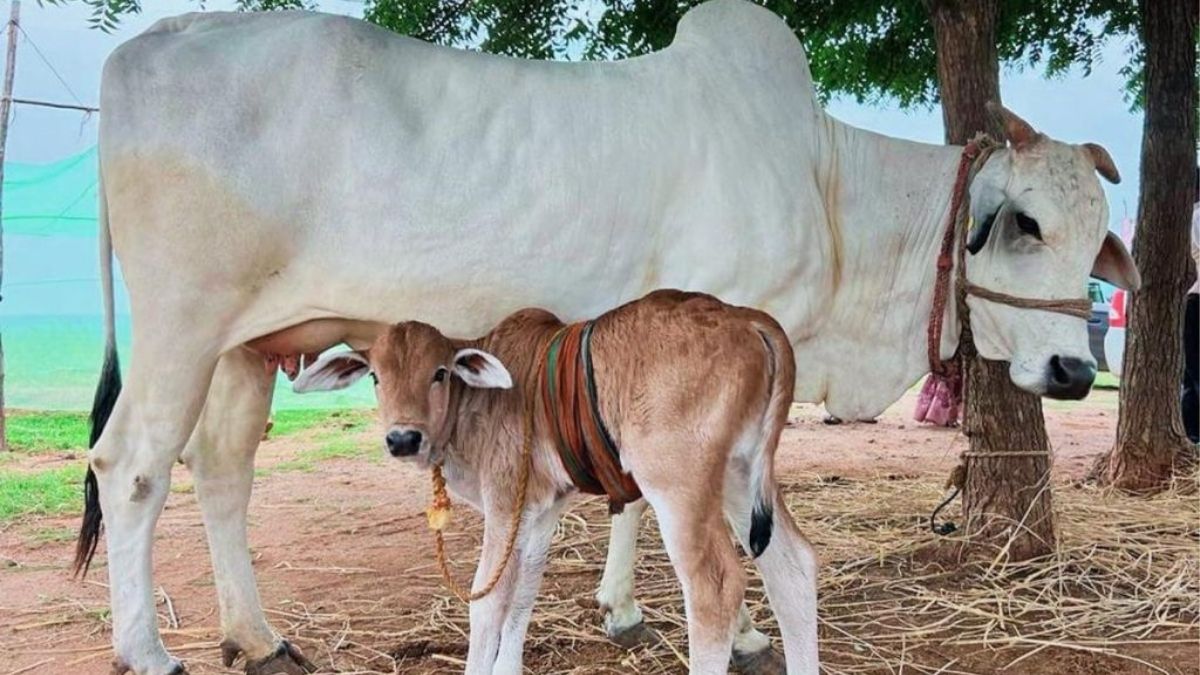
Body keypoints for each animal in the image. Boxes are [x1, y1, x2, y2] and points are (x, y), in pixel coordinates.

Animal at [290, 290, 818, 674]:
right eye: (375, 377)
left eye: (439, 373)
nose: (402, 438)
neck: (478, 402)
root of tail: (747, 319)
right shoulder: (539, 510)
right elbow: (523, 590)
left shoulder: (504, 502)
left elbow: (488, 599)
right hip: (739, 473)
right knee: (792, 565)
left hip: (679, 485)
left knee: (715, 586)